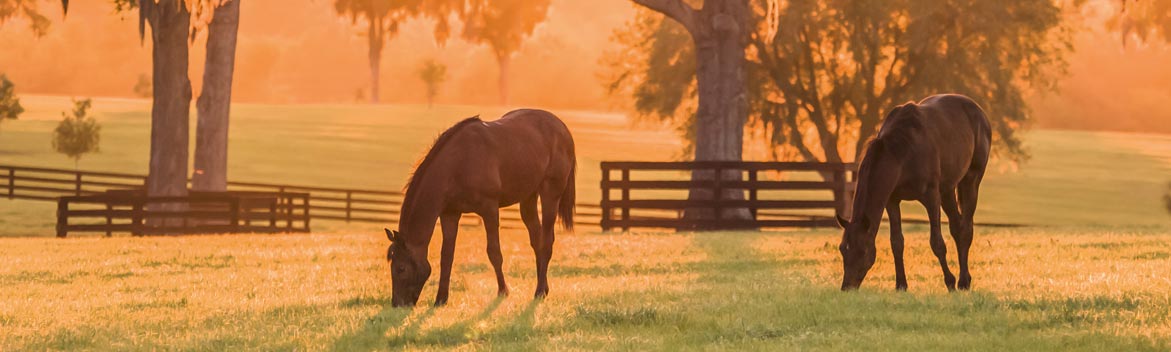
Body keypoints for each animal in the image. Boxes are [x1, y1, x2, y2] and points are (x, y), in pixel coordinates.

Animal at [384, 108, 576, 306]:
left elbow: (494, 252)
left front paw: (503, 291)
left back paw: (538, 292)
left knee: (546, 241)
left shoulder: (489, 209)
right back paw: (543, 288)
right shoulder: (450, 214)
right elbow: (447, 256)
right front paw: (441, 299)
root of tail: (562, 128)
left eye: (401, 268)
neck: (458, 164)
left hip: (550, 194)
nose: (397, 304)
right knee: (536, 240)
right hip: (528, 197)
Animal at [838, 92, 993, 290]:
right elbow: (897, 242)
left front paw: (950, 282)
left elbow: (937, 243)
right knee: (957, 227)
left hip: (970, 180)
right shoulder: (892, 201)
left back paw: (963, 281)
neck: (901, 153)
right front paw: (901, 285)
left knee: (965, 228)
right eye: (842, 249)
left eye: (862, 250)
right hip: (947, 190)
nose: (847, 287)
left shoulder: (931, 197)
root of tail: (980, 112)